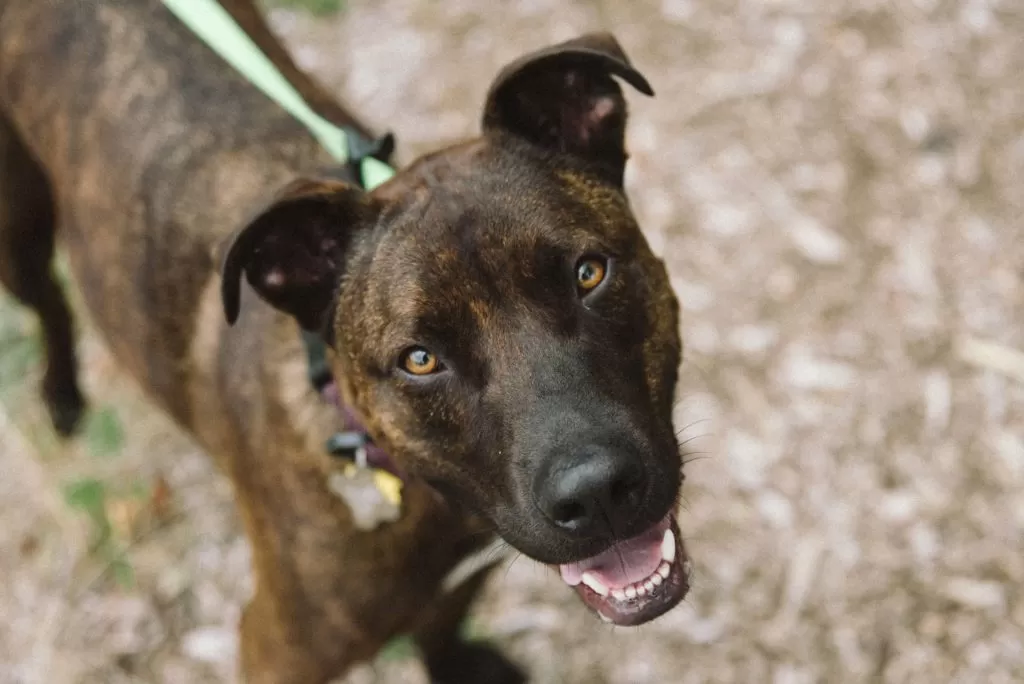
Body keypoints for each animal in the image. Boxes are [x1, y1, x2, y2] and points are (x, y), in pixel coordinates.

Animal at [2, 1, 688, 684]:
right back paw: (62, 396)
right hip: (21, 240)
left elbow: (441, 627)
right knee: (51, 302)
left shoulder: (470, 570)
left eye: (588, 274)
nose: (596, 493)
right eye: (420, 360)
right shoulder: (274, 652)